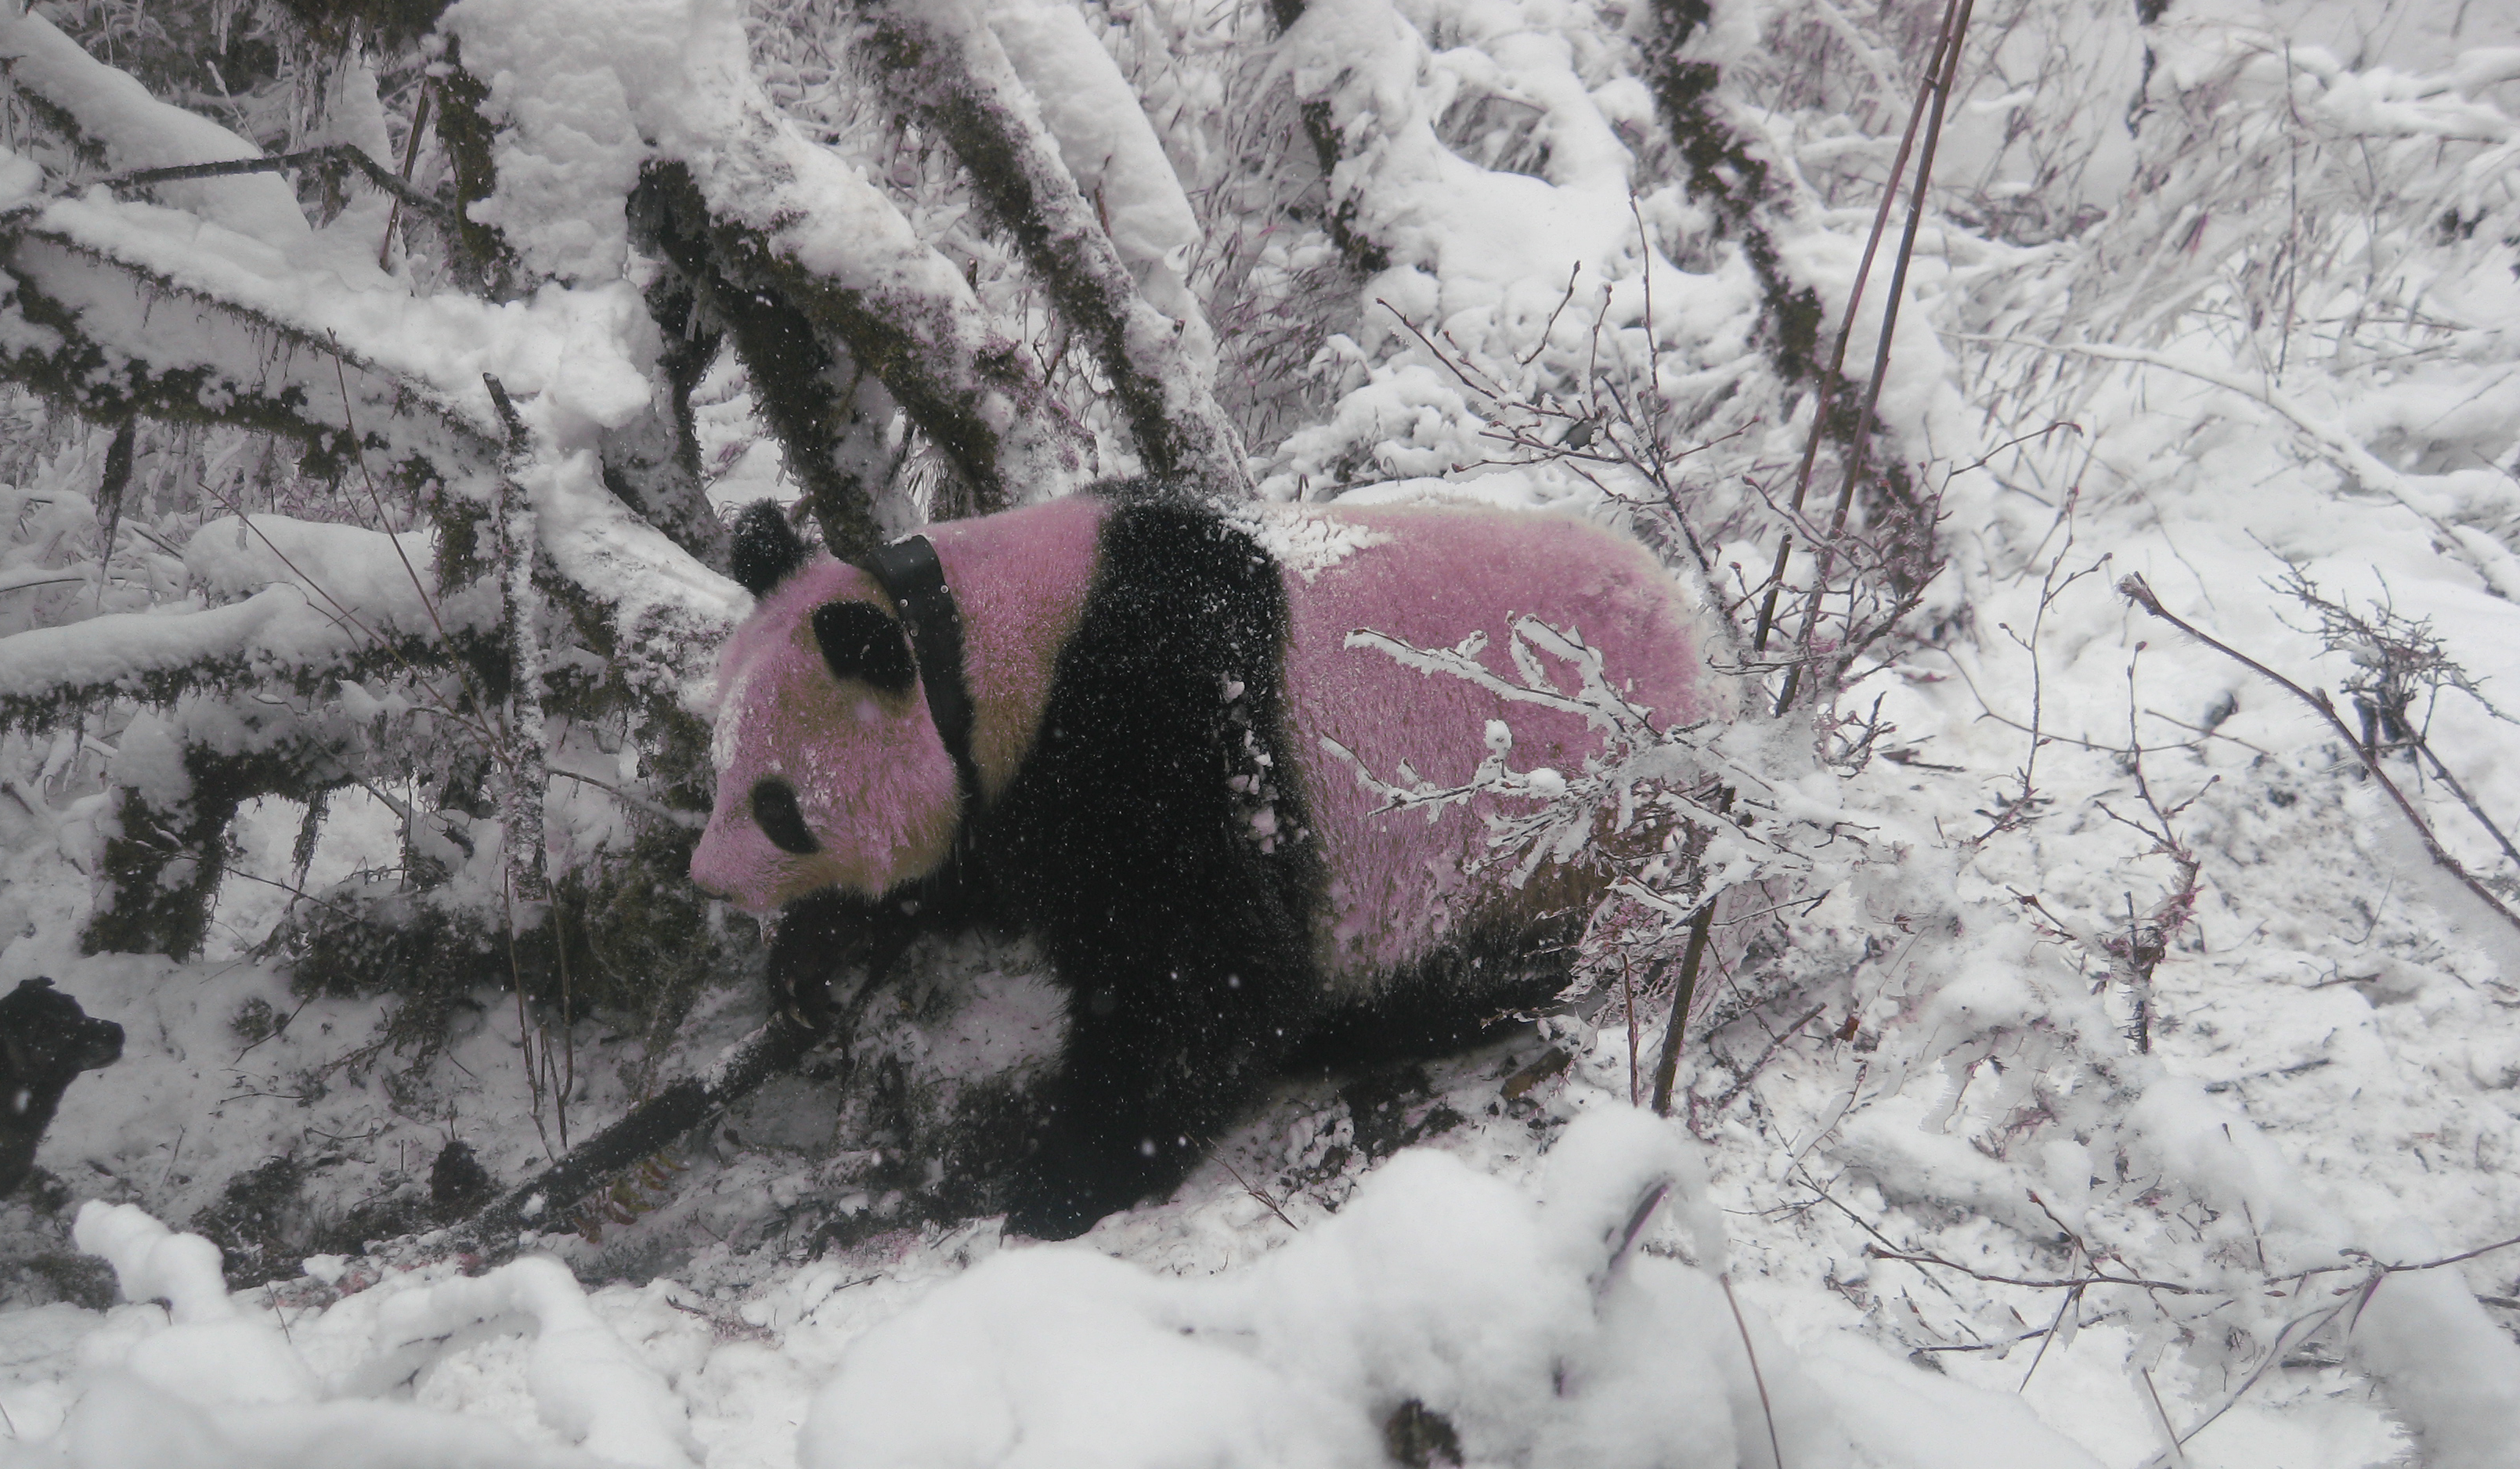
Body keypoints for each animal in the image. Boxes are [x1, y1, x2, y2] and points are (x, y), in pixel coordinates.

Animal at [689, 487, 1728, 1238]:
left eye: (775, 806)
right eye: (720, 766)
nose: (707, 879)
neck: (977, 646)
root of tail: (1700, 659)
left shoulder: (1157, 731)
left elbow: (1205, 973)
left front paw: (1065, 1178)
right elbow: (967, 871)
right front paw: (810, 957)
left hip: (1564, 835)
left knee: (1495, 961)